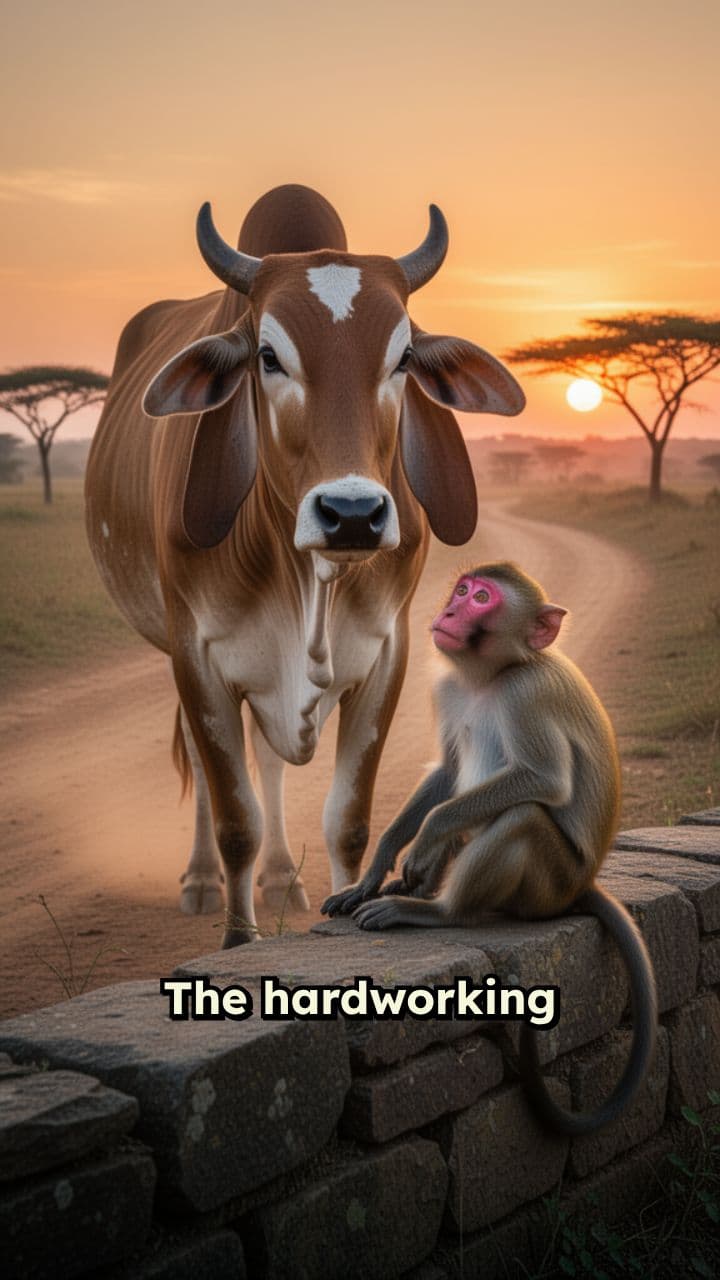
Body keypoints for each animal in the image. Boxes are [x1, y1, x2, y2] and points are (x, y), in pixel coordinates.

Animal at [85, 184, 525, 948]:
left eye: (402, 359)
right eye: (268, 355)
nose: (352, 514)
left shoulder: (386, 653)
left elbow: (347, 819)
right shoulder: (197, 653)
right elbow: (236, 817)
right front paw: (239, 937)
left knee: (268, 757)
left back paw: (284, 878)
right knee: (212, 767)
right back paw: (202, 881)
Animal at [322, 562, 657, 1135]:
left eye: (482, 598)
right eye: (462, 590)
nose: (451, 609)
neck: (491, 677)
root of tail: (584, 882)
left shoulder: (526, 693)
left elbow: (542, 781)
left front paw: (422, 845)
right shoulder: (449, 689)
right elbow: (448, 772)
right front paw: (373, 871)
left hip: (550, 883)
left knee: (519, 817)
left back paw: (437, 910)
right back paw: (414, 886)